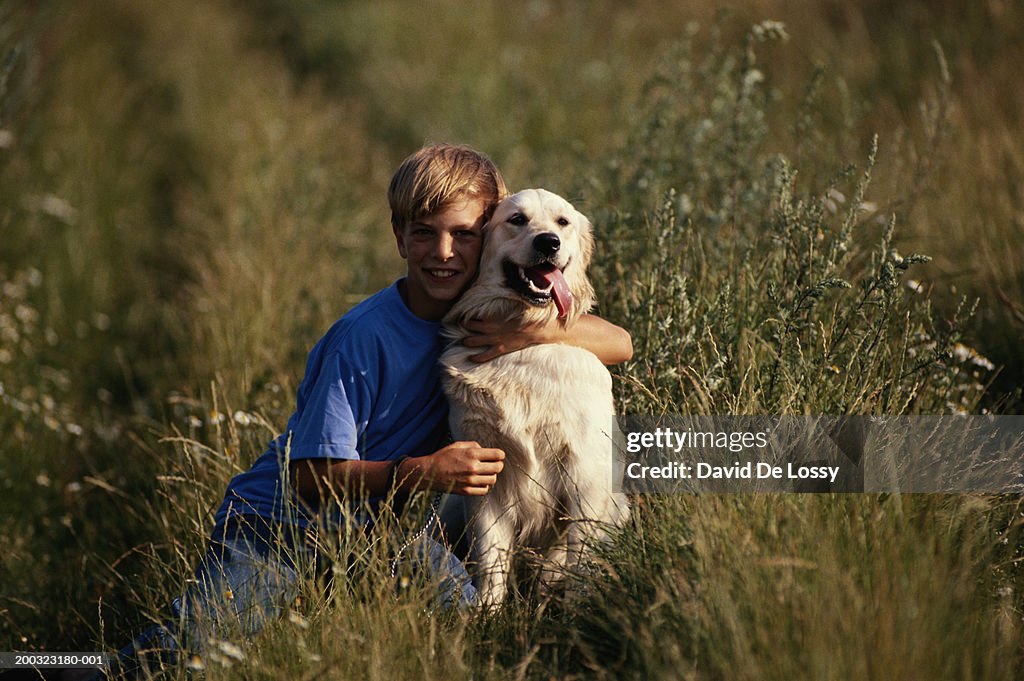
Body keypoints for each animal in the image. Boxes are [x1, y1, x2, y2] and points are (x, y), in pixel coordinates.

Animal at [442, 186, 630, 606]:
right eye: (517, 220)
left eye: (563, 222)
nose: (549, 242)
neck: (523, 345)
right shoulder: (485, 473)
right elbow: (491, 560)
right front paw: (487, 613)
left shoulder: (584, 473)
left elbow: (580, 561)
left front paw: (575, 611)